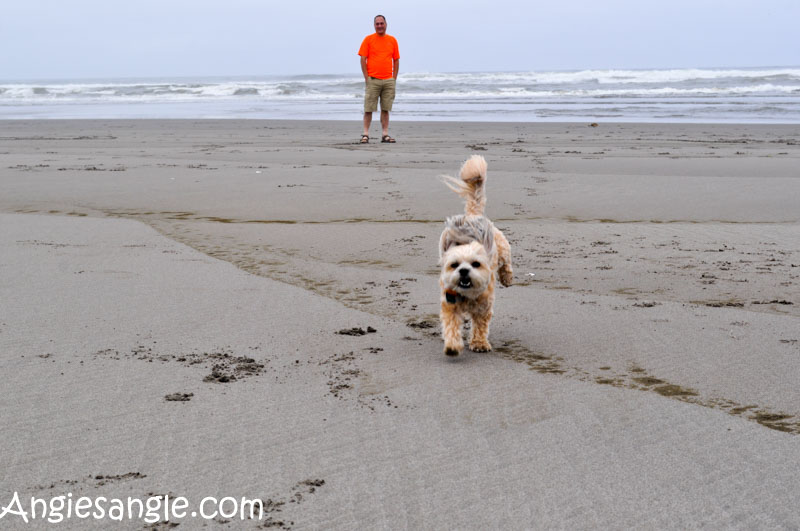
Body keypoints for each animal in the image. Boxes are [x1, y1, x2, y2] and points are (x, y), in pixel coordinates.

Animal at [438, 156, 512, 360]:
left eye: (476, 264)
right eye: (454, 265)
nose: (463, 271)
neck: (467, 295)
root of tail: (472, 215)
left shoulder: (484, 307)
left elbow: (480, 325)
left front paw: (479, 343)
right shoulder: (449, 304)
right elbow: (451, 326)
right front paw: (453, 346)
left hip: (502, 246)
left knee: (507, 262)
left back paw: (507, 278)